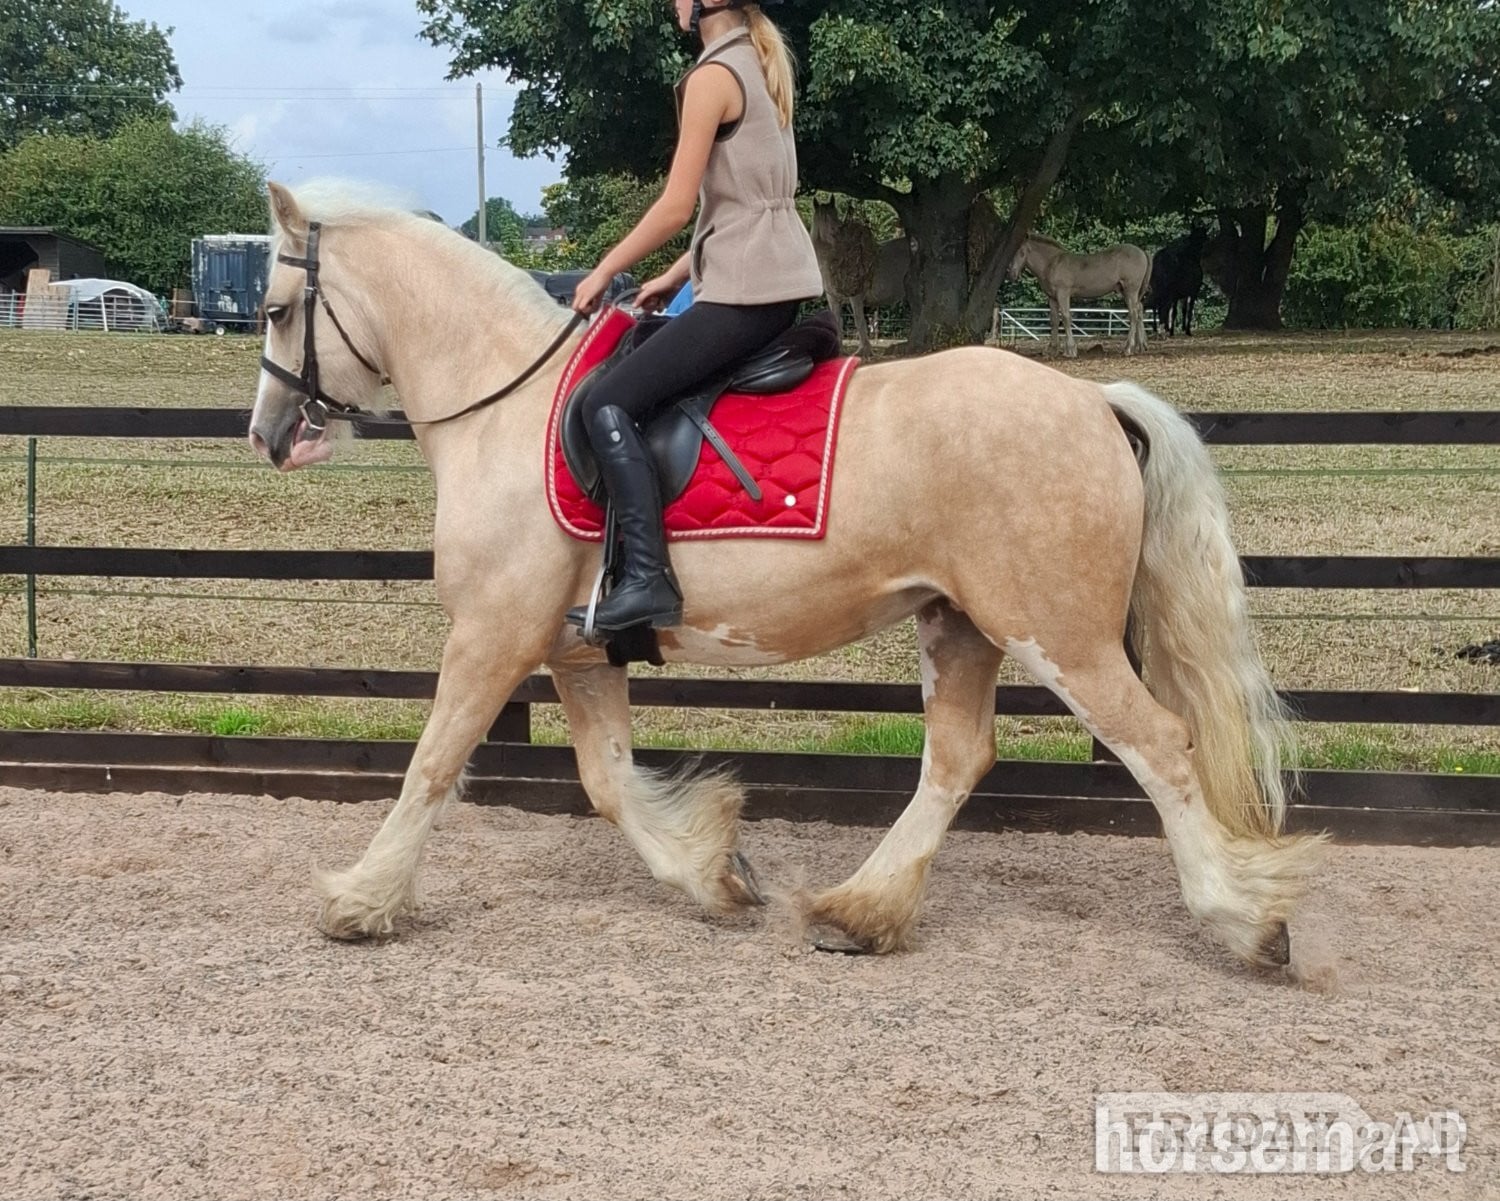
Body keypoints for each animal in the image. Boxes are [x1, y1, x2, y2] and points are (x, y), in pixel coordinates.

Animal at [810, 199, 912, 357]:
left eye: (835, 216)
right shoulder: (833, 299)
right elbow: (837, 322)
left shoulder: (856, 297)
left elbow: (859, 321)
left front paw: (864, 350)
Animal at [1008, 234, 1153, 358]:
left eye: (1021, 252)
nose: (1012, 274)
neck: (1052, 263)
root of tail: (1142, 252)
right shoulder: (1052, 298)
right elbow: (1054, 320)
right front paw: (1052, 350)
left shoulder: (1063, 293)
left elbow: (1066, 318)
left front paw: (1070, 350)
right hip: (1127, 292)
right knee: (1139, 310)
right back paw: (1140, 346)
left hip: (1131, 290)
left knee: (1133, 314)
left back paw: (1128, 348)